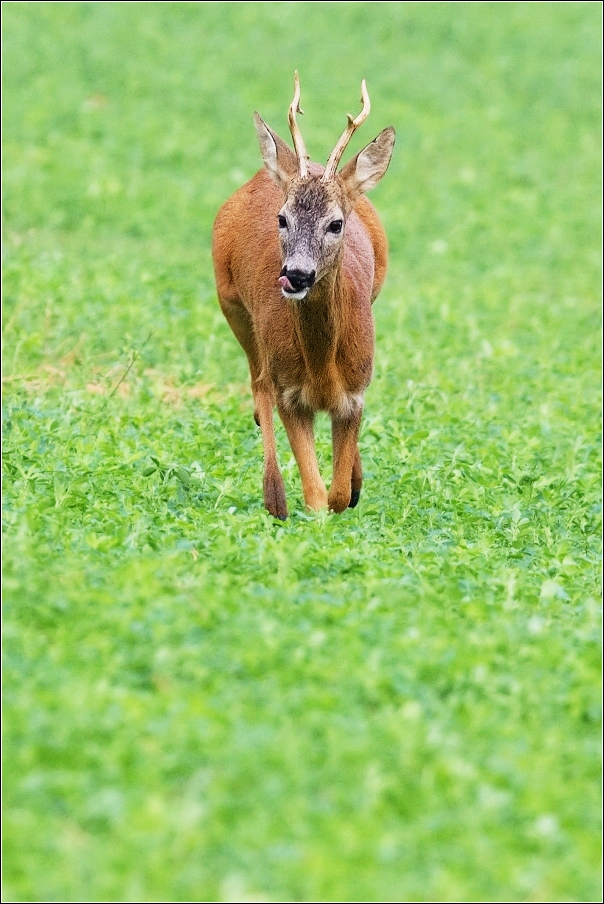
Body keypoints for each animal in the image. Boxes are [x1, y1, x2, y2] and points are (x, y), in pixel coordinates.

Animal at [214, 74, 396, 520]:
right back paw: (274, 496)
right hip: (234, 307)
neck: (322, 368)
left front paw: (352, 488)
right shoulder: (291, 394)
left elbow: (336, 494)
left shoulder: (356, 392)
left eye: (336, 223)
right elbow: (316, 497)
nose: (296, 274)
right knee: (258, 382)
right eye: (282, 219)